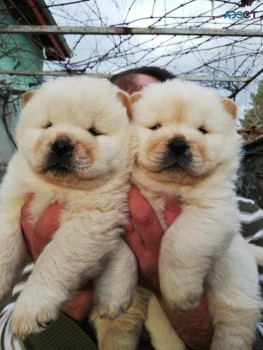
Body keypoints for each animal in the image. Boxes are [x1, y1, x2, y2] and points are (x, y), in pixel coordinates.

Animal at [0, 76, 137, 340]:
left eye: (93, 131)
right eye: (48, 125)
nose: (61, 145)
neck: (59, 188)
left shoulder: (90, 218)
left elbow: (53, 260)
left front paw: (29, 312)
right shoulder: (13, 197)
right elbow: (6, 245)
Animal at [126, 79, 262, 350]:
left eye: (202, 130)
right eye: (156, 127)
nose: (178, 143)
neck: (173, 187)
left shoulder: (211, 210)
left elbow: (178, 241)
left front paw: (180, 295)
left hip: (234, 288)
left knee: (235, 323)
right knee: (165, 333)